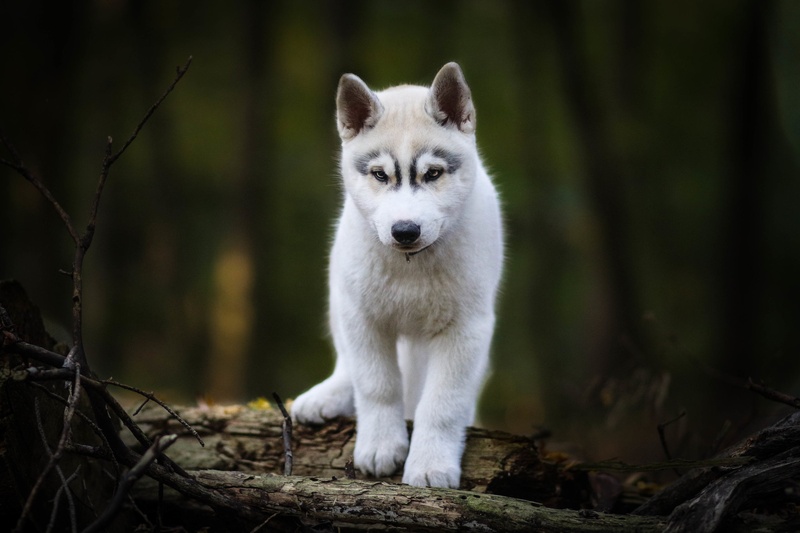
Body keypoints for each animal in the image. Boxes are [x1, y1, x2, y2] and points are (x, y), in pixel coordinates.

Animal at [292, 62, 503, 488]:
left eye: (433, 173)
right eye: (379, 175)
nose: (405, 231)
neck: (411, 267)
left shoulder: (465, 330)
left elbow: (442, 402)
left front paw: (431, 465)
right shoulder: (362, 318)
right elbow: (378, 385)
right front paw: (379, 447)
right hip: (339, 293)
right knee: (348, 363)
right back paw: (328, 394)